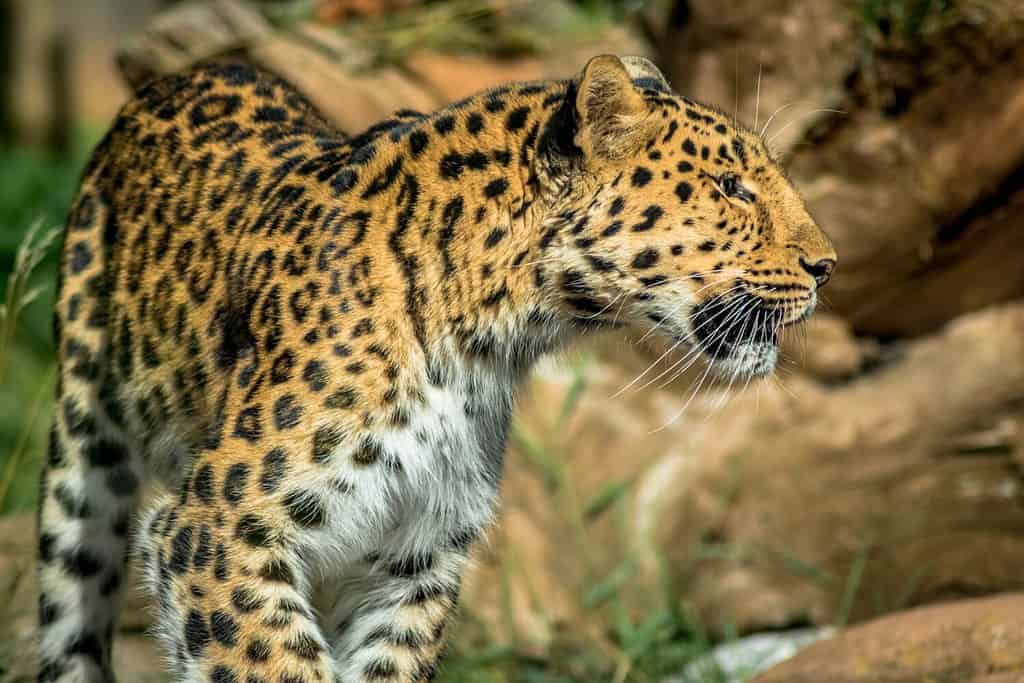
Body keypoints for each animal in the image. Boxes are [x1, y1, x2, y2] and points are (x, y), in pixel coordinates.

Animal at [37, 54, 836, 683]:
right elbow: (274, 663)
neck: (486, 339)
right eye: (732, 188)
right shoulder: (216, 532)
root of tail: (182, 75)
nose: (827, 265)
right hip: (82, 458)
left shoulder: (417, 551)